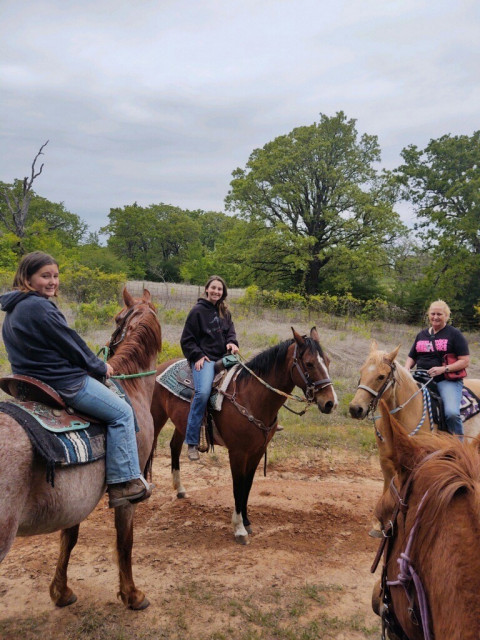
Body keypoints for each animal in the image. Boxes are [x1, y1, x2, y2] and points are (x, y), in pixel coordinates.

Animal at [0, 288, 161, 608]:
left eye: (117, 318)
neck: (133, 391)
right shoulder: (127, 492)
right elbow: (125, 541)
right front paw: (132, 594)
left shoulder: (73, 501)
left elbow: (69, 539)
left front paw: (61, 592)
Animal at [151, 328, 338, 544]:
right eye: (309, 363)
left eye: (328, 361)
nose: (331, 403)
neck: (251, 397)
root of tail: (159, 368)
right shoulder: (238, 453)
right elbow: (237, 487)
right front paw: (239, 528)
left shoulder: (257, 451)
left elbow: (247, 485)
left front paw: (247, 522)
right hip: (156, 417)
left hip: (182, 424)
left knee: (174, 447)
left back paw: (180, 489)